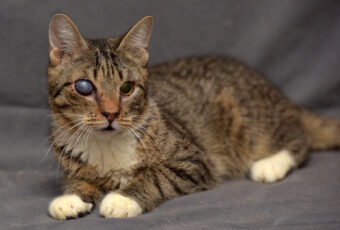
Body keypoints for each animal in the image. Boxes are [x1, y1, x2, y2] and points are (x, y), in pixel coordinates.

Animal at [47, 13, 340, 219]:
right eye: (84, 87)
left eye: (127, 88)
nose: (111, 113)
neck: (107, 148)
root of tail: (277, 94)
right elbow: (79, 180)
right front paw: (71, 197)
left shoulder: (193, 161)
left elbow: (156, 177)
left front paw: (123, 198)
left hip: (251, 119)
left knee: (299, 137)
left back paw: (270, 164)